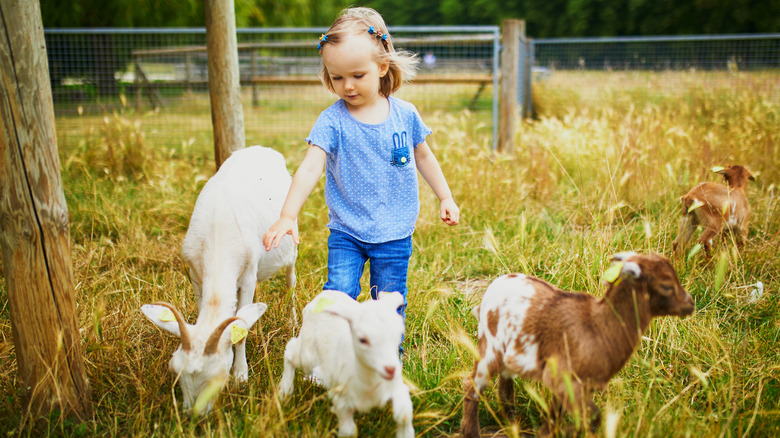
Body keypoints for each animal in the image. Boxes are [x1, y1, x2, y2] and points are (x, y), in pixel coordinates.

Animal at [142, 146, 298, 414]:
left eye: (219, 376)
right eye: (176, 371)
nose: (195, 414)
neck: (219, 230)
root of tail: (261, 149)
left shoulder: (248, 276)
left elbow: (241, 329)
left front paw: (241, 376)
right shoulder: (196, 274)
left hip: (291, 241)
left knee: (291, 280)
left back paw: (293, 321)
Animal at [280, 290, 414, 438]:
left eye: (400, 335)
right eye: (362, 340)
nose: (391, 369)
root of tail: (325, 294)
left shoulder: (397, 387)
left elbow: (404, 415)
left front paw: (405, 433)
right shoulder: (340, 397)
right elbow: (348, 432)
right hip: (307, 353)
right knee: (290, 351)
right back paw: (285, 391)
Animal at [464, 252, 696, 436]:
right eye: (666, 286)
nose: (690, 304)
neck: (599, 326)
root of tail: (494, 284)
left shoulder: (570, 384)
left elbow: (557, 415)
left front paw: (549, 432)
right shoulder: (567, 381)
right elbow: (593, 417)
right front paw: (568, 431)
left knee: (504, 387)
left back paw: (512, 423)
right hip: (490, 347)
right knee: (472, 384)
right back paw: (471, 432)